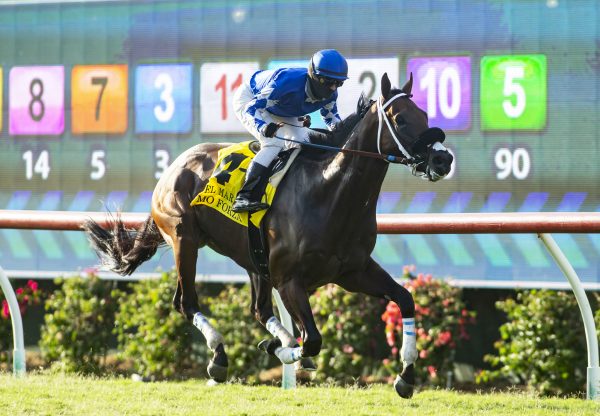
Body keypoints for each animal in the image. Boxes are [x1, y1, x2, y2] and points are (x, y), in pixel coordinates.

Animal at [83, 73, 450, 398]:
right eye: (400, 120)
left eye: (424, 115)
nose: (442, 159)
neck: (328, 192)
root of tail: (174, 166)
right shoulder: (289, 280)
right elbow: (312, 340)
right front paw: (284, 351)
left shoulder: (353, 271)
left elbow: (405, 298)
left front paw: (406, 377)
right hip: (184, 239)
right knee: (186, 303)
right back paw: (220, 356)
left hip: (251, 258)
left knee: (256, 309)